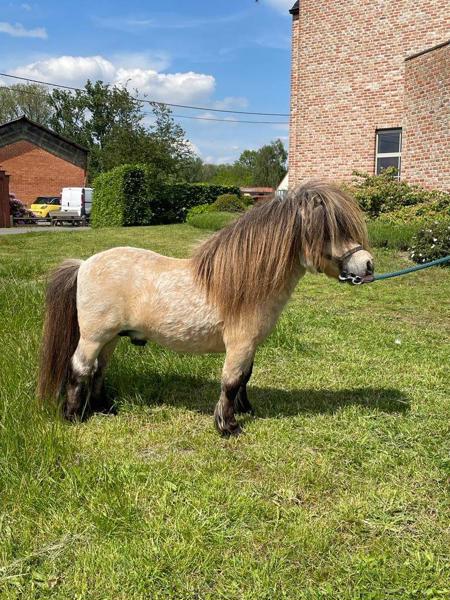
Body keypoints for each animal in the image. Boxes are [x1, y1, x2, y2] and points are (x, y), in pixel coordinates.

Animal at [38, 180, 374, 434]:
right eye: (330, 230)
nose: (368, 265)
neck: (244, 283)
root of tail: (84, 265)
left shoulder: (249, 346)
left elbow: (245, 379)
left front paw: (245, 410)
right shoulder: (239, 344)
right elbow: (231, 381)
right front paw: (229, 426)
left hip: (109, 339)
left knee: (98, 370)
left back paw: (105, 408)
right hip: (93, 337)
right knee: (80, 368)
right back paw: (74, 416)